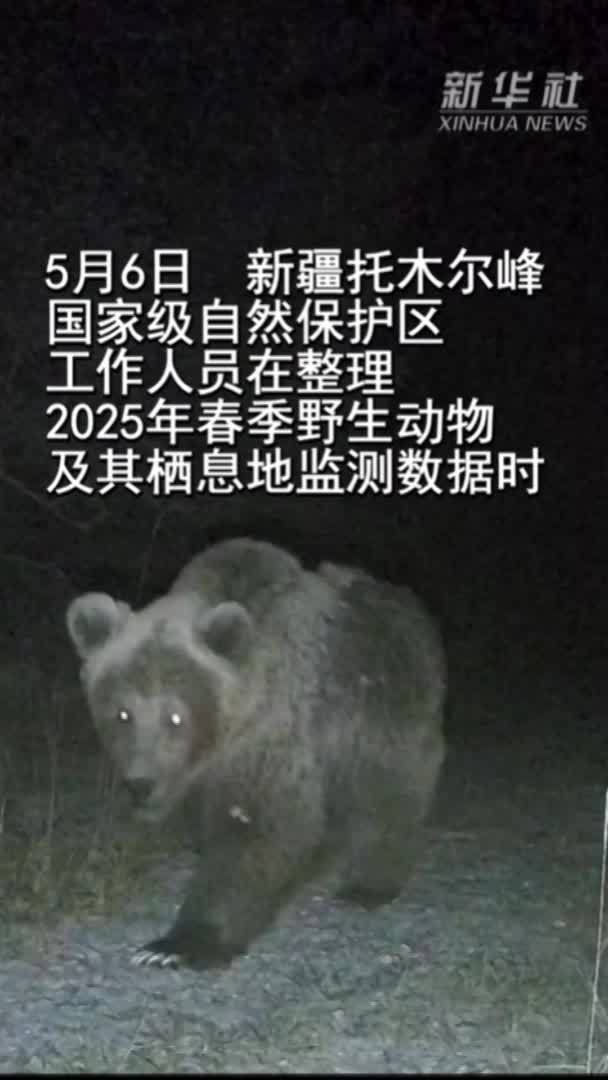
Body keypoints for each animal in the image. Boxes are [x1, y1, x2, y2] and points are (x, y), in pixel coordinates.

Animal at [66, 537, 446, 970]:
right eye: (123, 713)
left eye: (176, 716)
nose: (142, 784)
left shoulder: (274, 731)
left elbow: (254, 829)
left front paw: (178, 944)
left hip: (391, 712)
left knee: (391, 794)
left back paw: (370, 884)